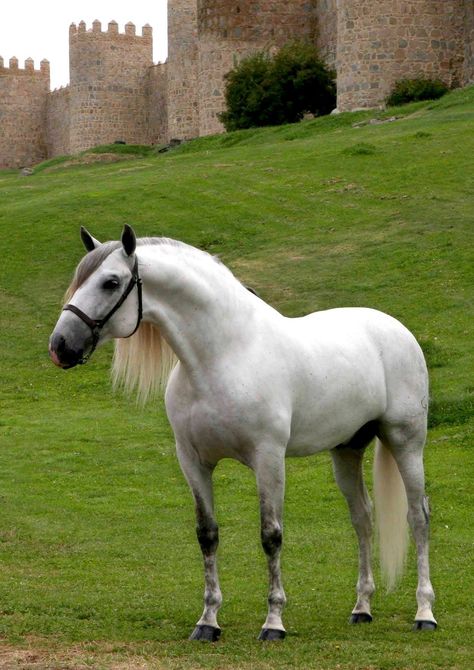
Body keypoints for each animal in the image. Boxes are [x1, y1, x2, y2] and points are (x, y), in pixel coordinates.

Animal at [49, 228, 436, 644]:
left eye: (110, 282)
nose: (60, 346)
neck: (224, 355)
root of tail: (396, 329)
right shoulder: (193, 461)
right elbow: (207, 534)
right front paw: (207, 621)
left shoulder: (268, 459)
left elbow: (271, 535)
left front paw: (274, 622)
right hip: (346, 451)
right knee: (362, 518)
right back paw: (362, 608)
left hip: (406, 443)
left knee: (417, 517)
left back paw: (424, 612)